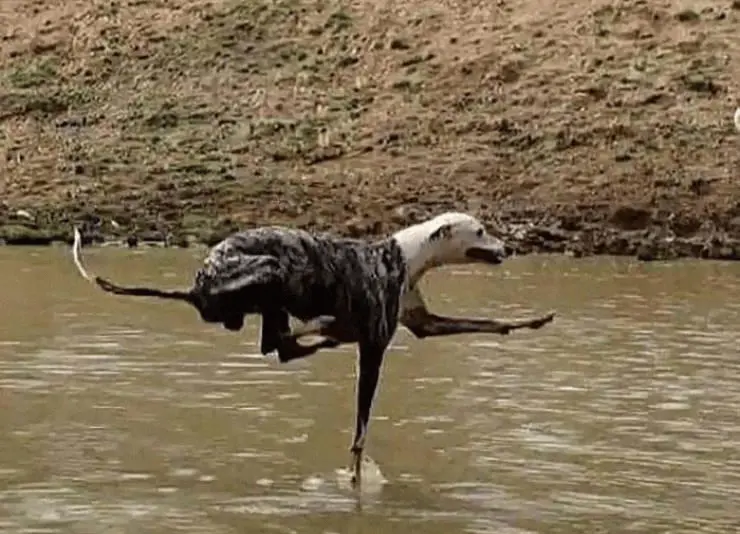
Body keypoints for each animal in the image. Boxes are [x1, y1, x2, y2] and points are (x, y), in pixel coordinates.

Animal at [71, 213, 556, 486]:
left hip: (267, 301)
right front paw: (355, 478)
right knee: (284, 343)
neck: (404, 255)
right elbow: (360, 432)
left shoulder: (424, 325)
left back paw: (323, 331)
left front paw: (530, 322)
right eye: (481, 230)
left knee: (279, 346)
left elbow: (485, 323)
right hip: (271, 273)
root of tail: (196, 285)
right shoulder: (375, 347)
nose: (507, 248)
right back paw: (322, 327)